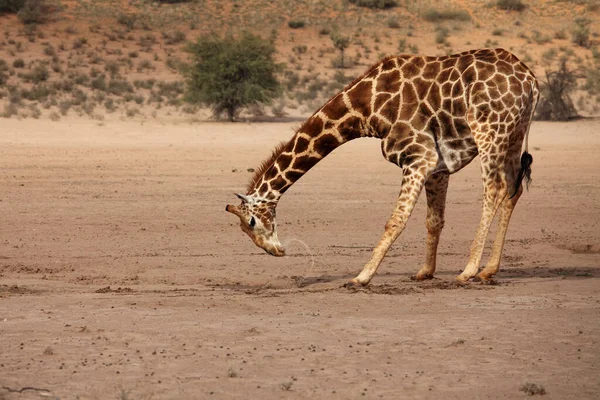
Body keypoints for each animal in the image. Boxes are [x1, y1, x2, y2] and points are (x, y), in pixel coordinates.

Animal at [225, 48, 540, 286]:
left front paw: (362, 276)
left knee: (494, 188)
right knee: (512, 189)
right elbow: (433, 220)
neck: (367, 108)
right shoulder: (438, 165)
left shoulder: (418, 155)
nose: (276, 251)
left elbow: (395, 220)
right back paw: (489, 270)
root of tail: (530, 81)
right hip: (513, 134)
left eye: (251, 222)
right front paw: (425, 272)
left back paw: (469, 270)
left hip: (489, 131)